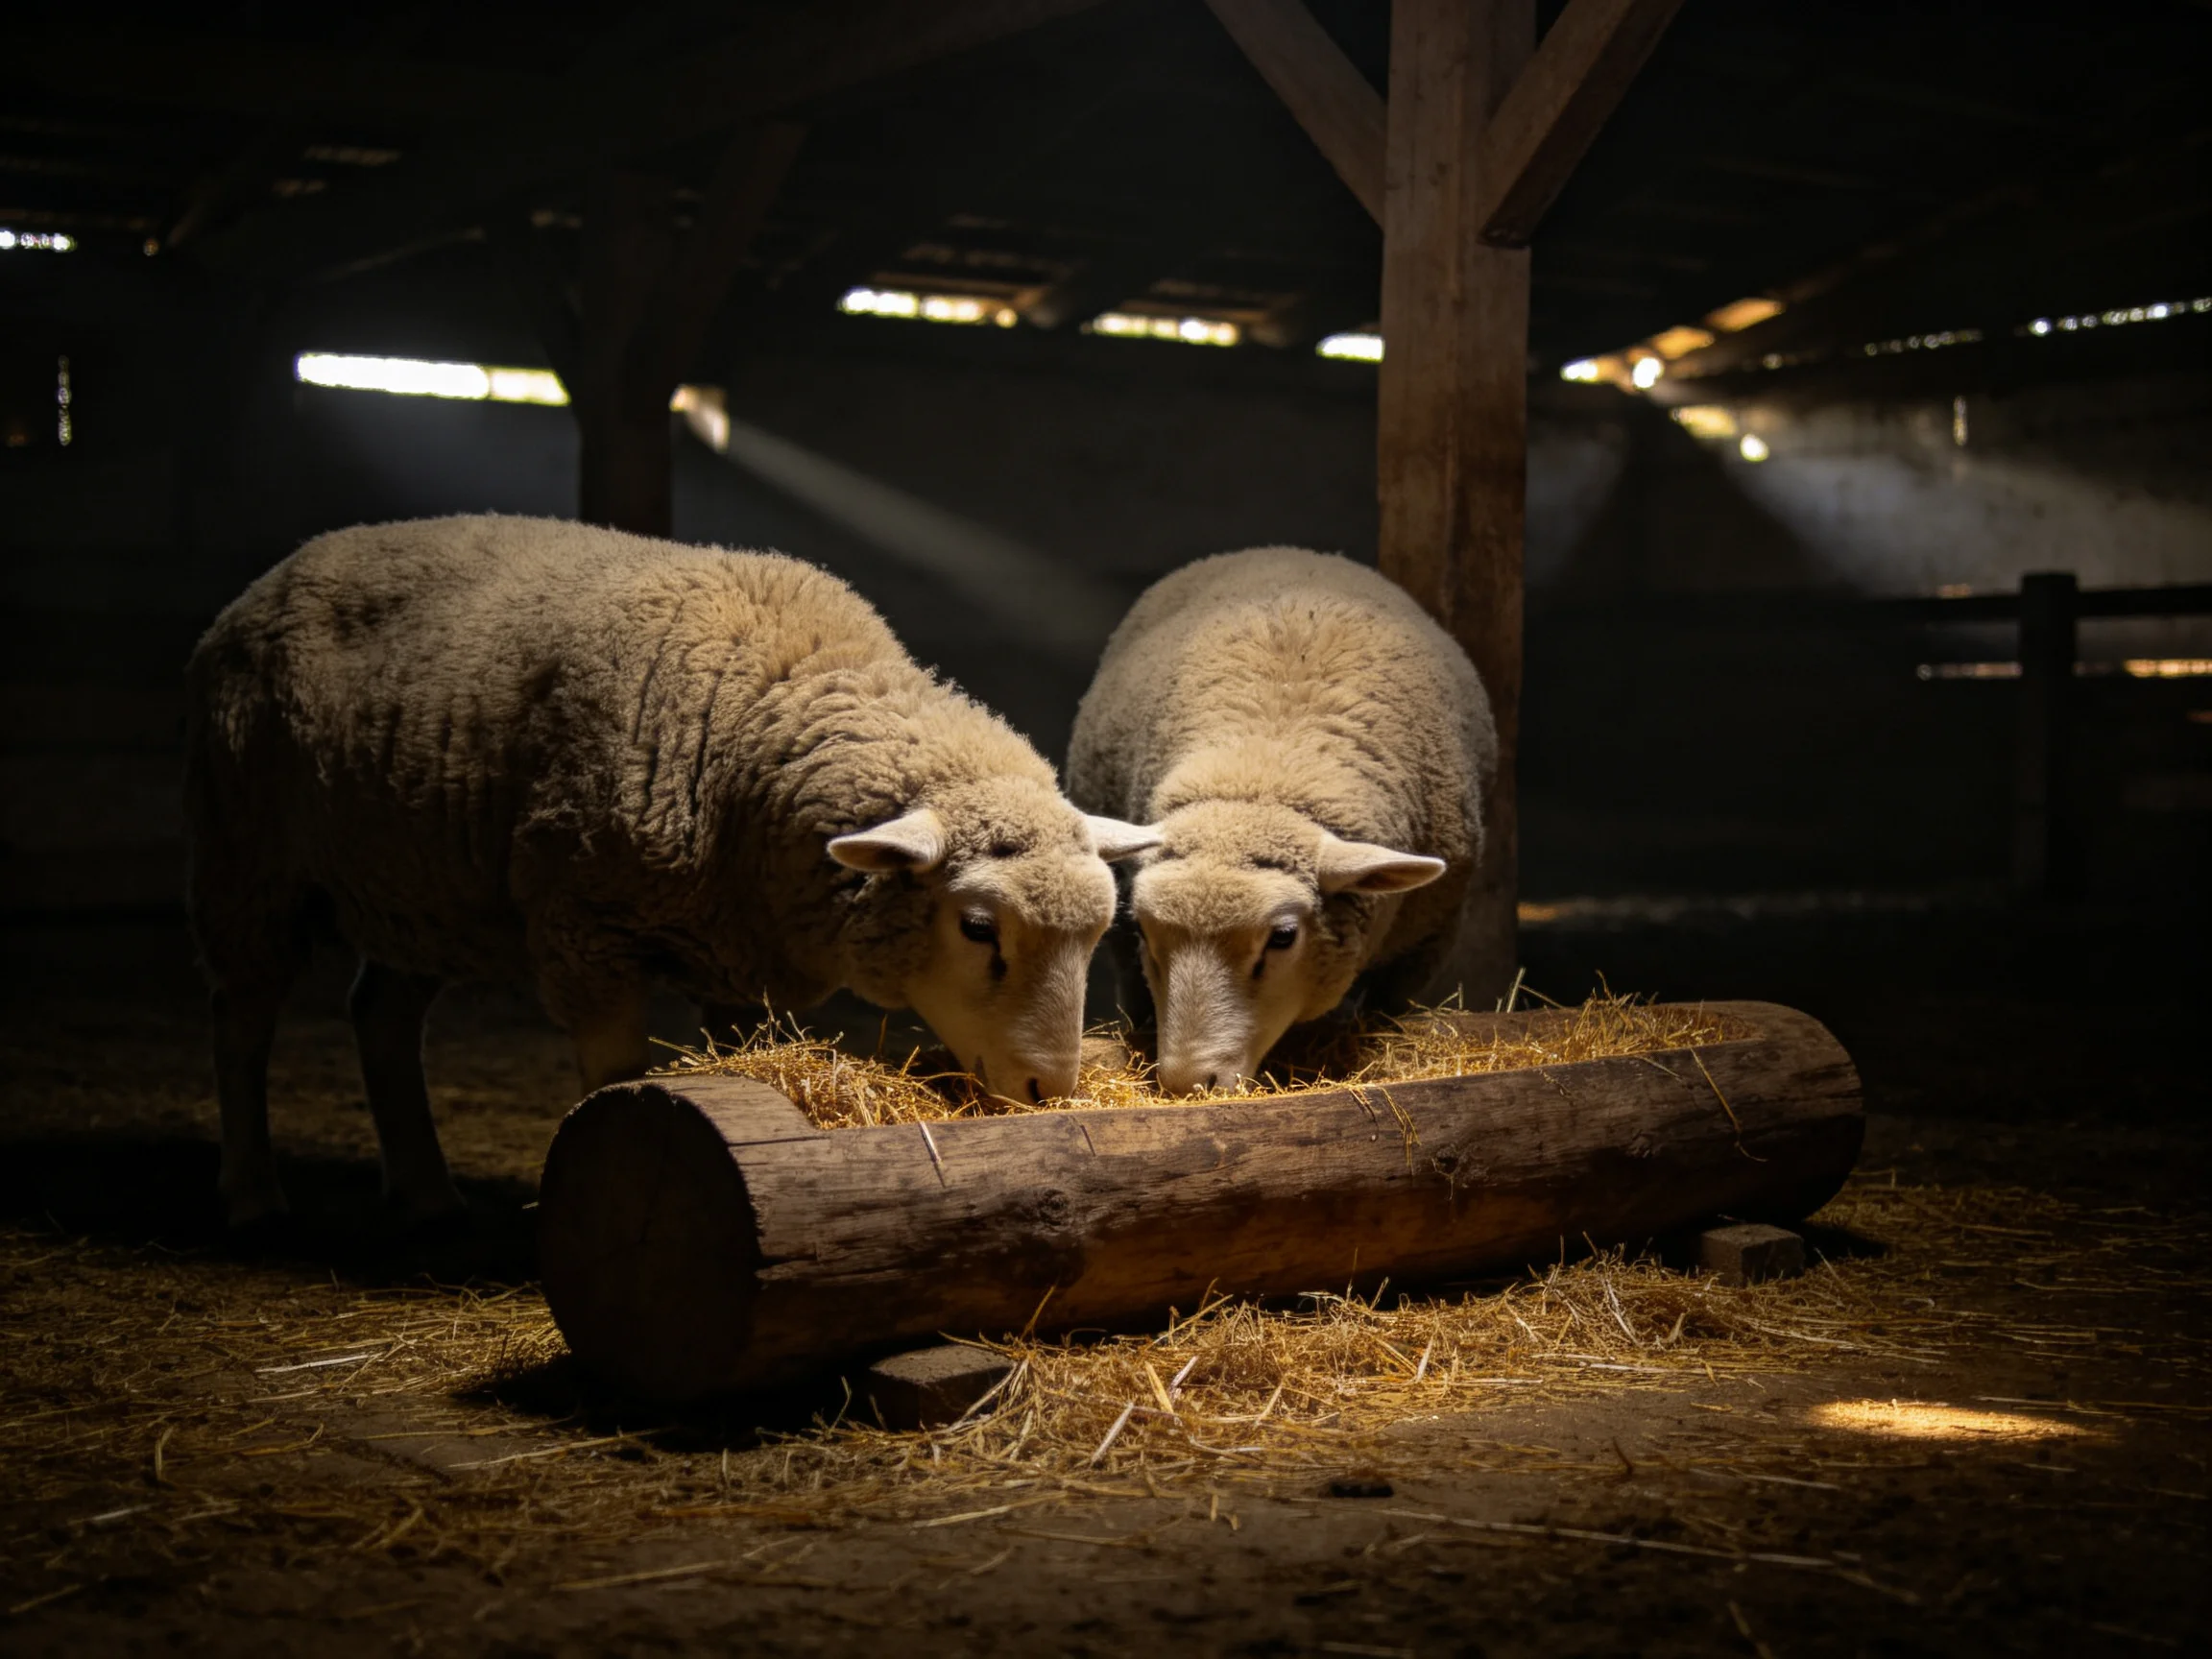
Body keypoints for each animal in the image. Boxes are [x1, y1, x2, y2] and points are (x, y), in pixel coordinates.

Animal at [186, 514, 1158, 1225]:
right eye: (979, 928)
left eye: (1095, 939)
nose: (1048, 1090)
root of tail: (278, 570)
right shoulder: (586, 929)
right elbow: (616, 1073)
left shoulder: (733, 951)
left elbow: (739, 1065)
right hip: (251, 858)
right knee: (240, 1016)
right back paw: (252, 1193)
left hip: (416, 888)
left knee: (381, 1017)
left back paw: (427, 1192)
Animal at [1066, 546, 1496, 1094]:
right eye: (1144, 928)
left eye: (1284, 937)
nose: (1189, 1083)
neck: (1265, 773)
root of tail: (1287, 552)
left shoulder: (1426, 939)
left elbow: (1389, 1007)